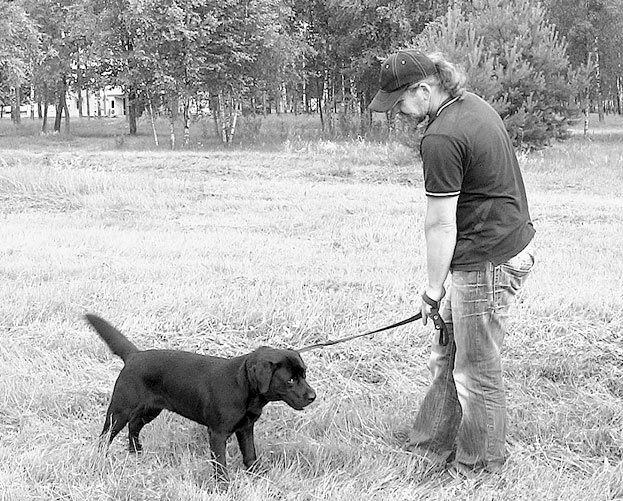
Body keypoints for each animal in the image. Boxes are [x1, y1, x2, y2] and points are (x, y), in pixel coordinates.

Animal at [86, 312, 316, 480]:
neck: (243, 387)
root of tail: (134, 356)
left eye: (304, 374)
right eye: (290, 380)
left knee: (134, 426)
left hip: (151, 409)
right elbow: (220, 463)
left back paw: (136, 452)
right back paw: (100, 459)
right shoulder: (217, 433)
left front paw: (258, 476)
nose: (313, 396)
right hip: (120, 410)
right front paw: (224, 487)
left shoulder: (246, 428)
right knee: (106, 435)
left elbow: (250, 454)